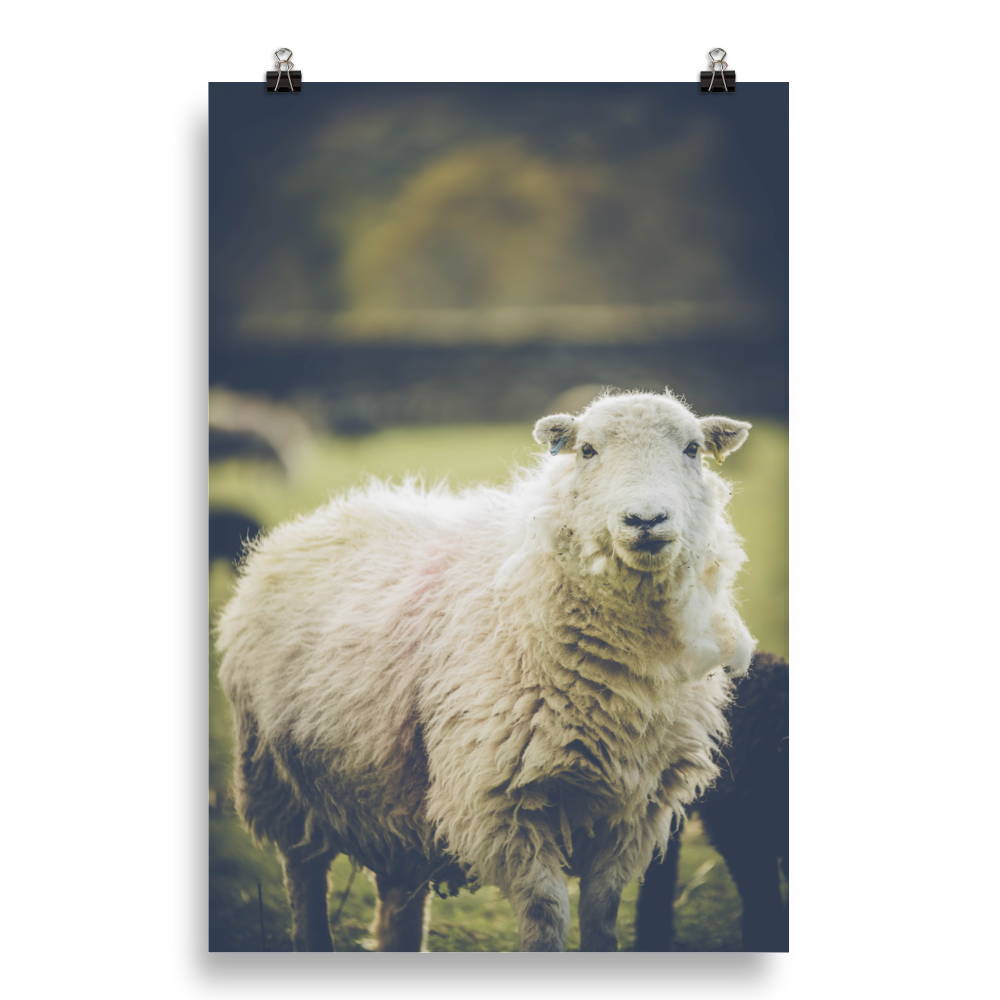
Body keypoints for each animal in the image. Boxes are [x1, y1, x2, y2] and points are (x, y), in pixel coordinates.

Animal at [215, 388, 755, 953]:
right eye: (587, 450)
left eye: (693, 449)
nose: (646, 519)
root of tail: (330, 511)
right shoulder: (502, 804)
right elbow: (546, 913)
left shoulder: (633, 812)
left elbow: (603, 914)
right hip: (278, 781)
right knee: (304, 874)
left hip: (391, 797)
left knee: (399, 894)